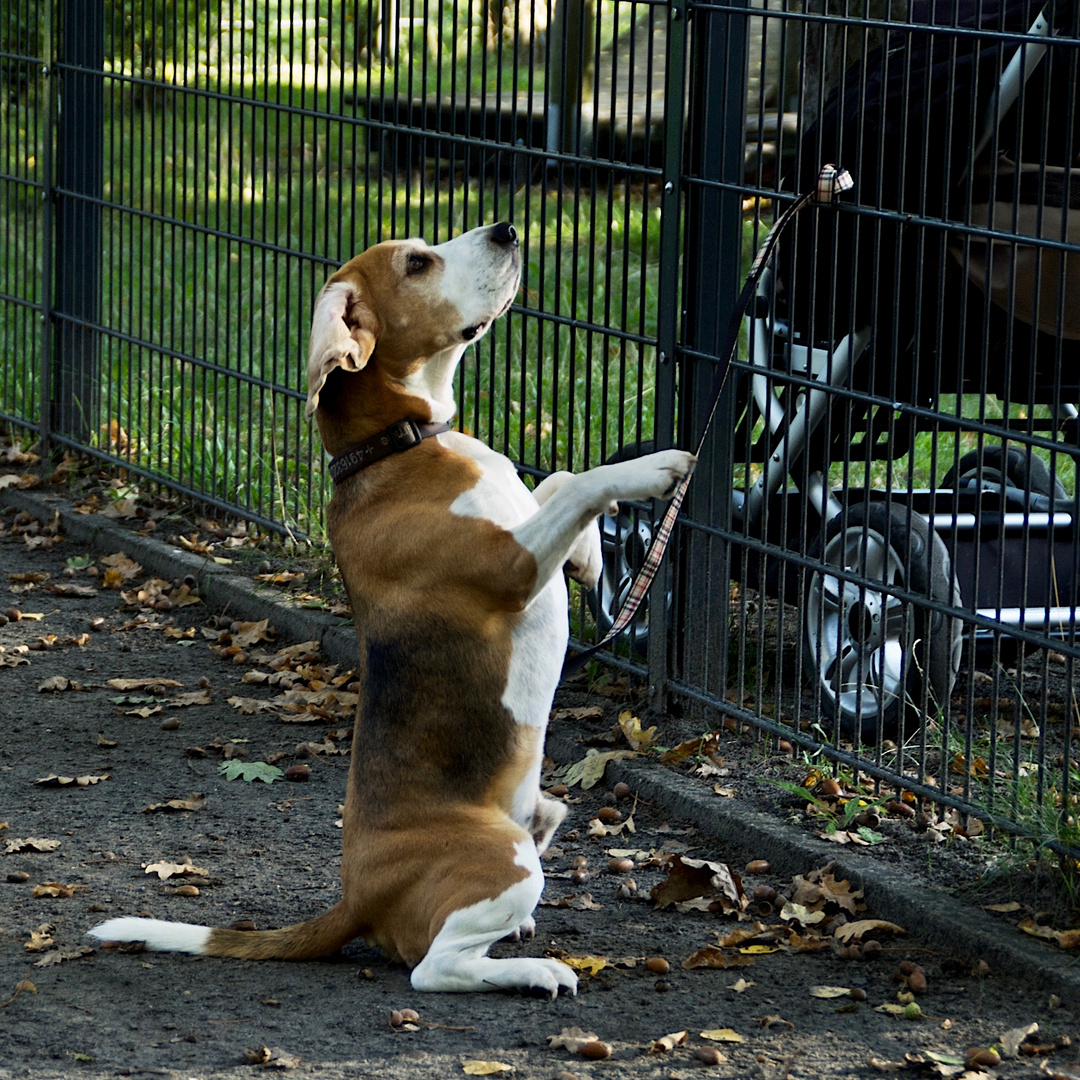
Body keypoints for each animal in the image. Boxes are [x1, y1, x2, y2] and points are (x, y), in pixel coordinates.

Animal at [92, 219, 699, 993]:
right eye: (417, 263)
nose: (507, 229)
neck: (394, 448)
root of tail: (357, 898)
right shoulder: (511, 565)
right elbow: (586, 479)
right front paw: (648, 471)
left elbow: (559, 479)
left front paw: (591, 555)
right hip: (506, 858)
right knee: (434, 969)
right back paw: (531, 969)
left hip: (543, 813)